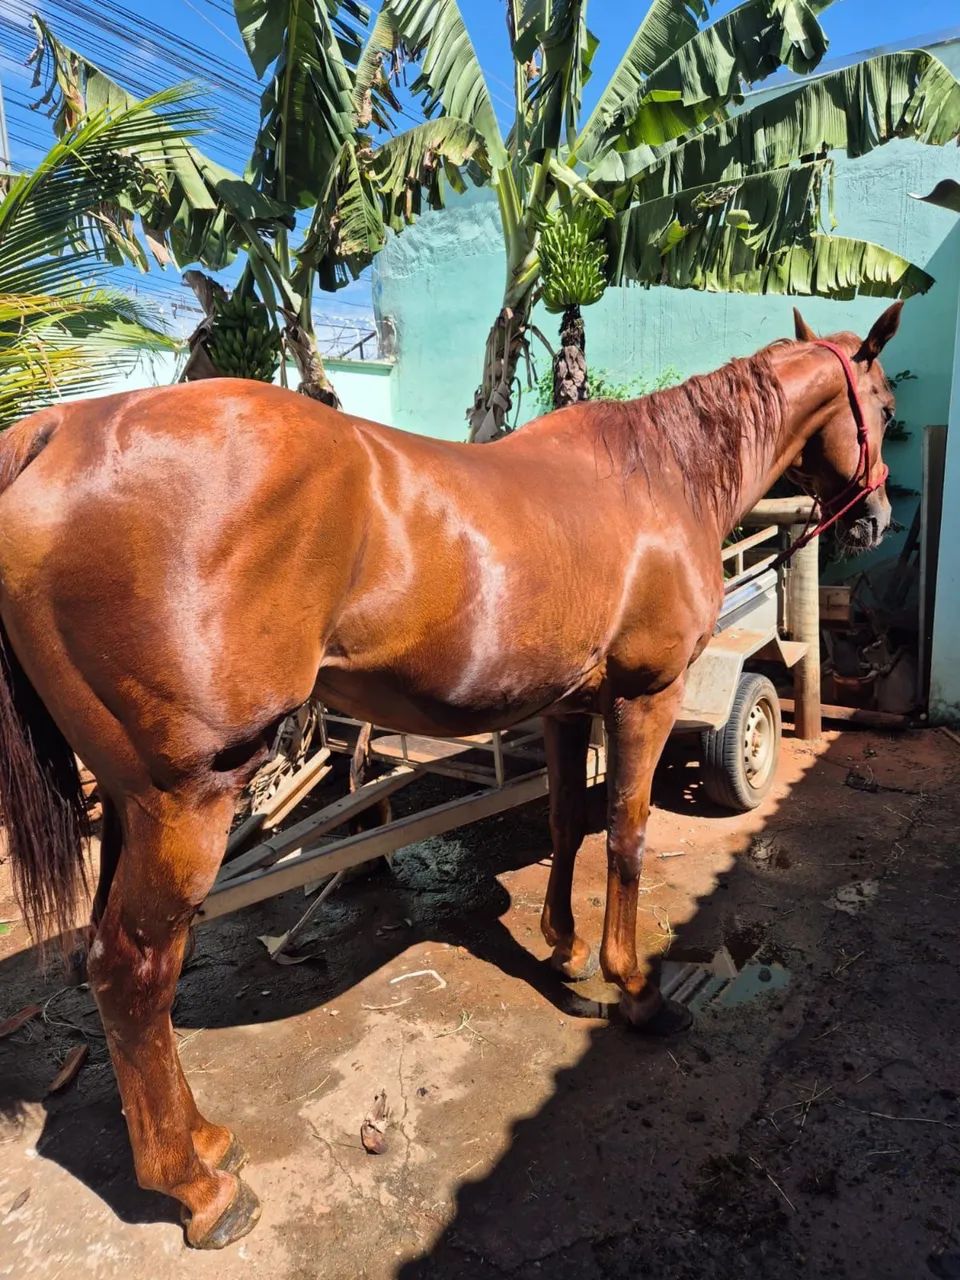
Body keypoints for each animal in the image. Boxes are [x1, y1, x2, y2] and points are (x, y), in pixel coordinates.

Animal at [0, 302, 901, 1247]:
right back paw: (199, 1190)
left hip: (130, 803)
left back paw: (207, 1142)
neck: (658, 477)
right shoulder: (644, 698)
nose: (875, 517)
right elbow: (624, 835)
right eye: (881, 400)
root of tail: (57, 432)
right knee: (132, 972)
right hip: (186, 801)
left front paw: (565, 949)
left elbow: (566, 823)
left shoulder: (566, 704)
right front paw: (634, 988)